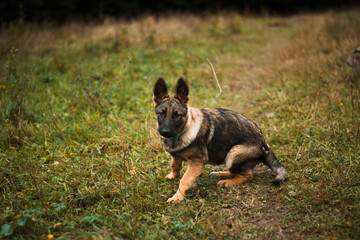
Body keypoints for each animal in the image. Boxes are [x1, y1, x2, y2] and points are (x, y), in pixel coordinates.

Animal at [153, 77, 288, 202]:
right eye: (161, 113)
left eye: (177, 115)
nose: (165, 132)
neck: (185, 128)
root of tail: (264, 144)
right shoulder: (176, 156)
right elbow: (174, 165)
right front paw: (172, 176)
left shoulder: (197, 161)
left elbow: (184, 180)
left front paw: (177, 198)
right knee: (237, 172)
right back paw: (220, 174)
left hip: (233, 153)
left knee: (248, 175)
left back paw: (228, 182)